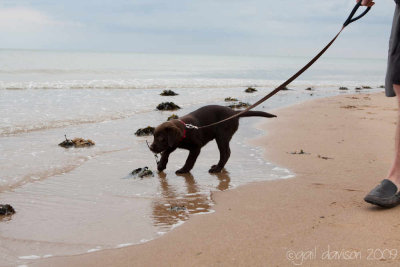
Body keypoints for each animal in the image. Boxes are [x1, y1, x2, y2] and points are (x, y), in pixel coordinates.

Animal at [148, 105, 276, 175]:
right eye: (154, 137)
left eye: (161, 138)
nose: (151, 147)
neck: (185, 130)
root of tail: (234, 113)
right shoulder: (174, 143)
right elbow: (165, 152)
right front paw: (161, 165)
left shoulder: (196, 147)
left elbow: (189, 160)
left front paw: (184, 170)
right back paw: (218, 167)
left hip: (222, 137)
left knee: (225, 153)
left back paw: (217, 168)